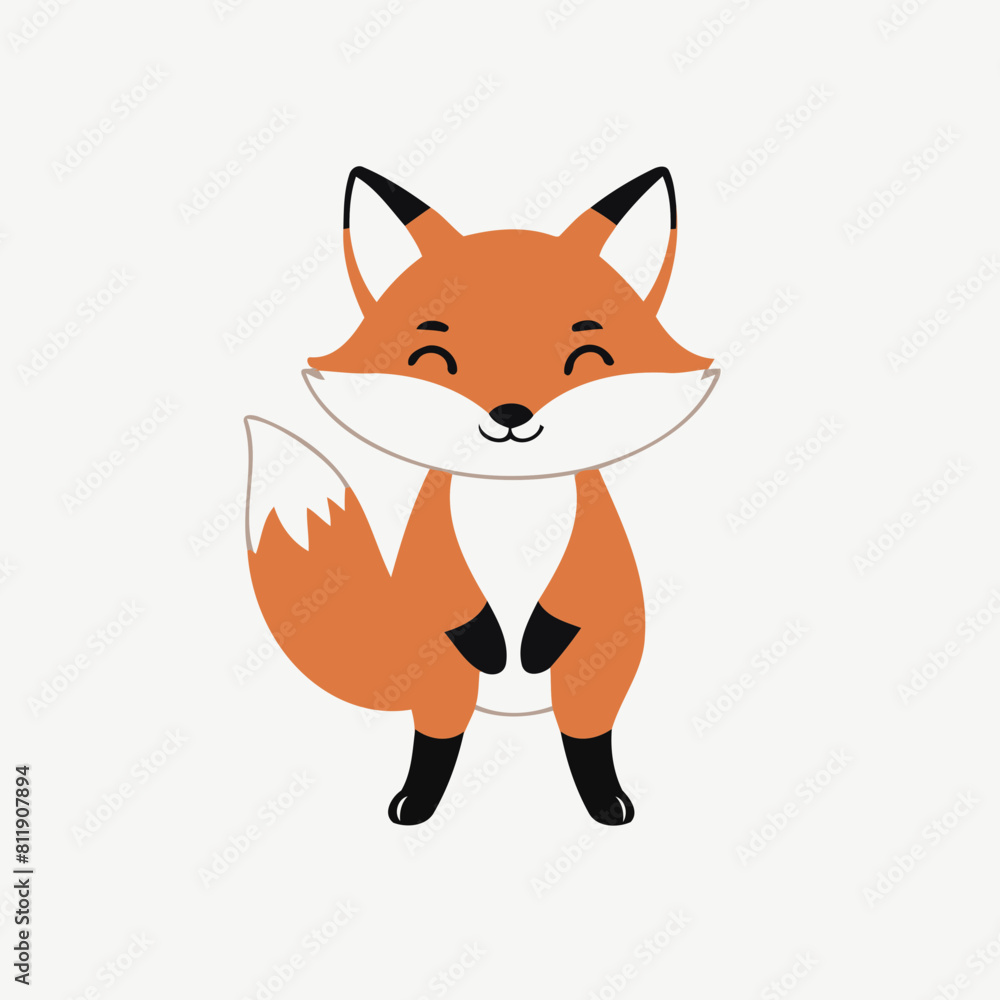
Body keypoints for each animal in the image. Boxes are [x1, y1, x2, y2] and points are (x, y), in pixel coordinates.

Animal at [244, 165, 718, 825]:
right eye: (433, 358)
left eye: (587, 358)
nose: (511, 414)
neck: (509, 503)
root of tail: (510, 711)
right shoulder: (434, 560)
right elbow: (454, 602)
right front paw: (495, 647)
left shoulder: (595, 559)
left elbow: (570, 599)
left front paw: (531, 645)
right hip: (444, 682)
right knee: (438, 738)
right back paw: (418, 801)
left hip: (593, 678)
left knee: (586, 739)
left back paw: (604, 801)